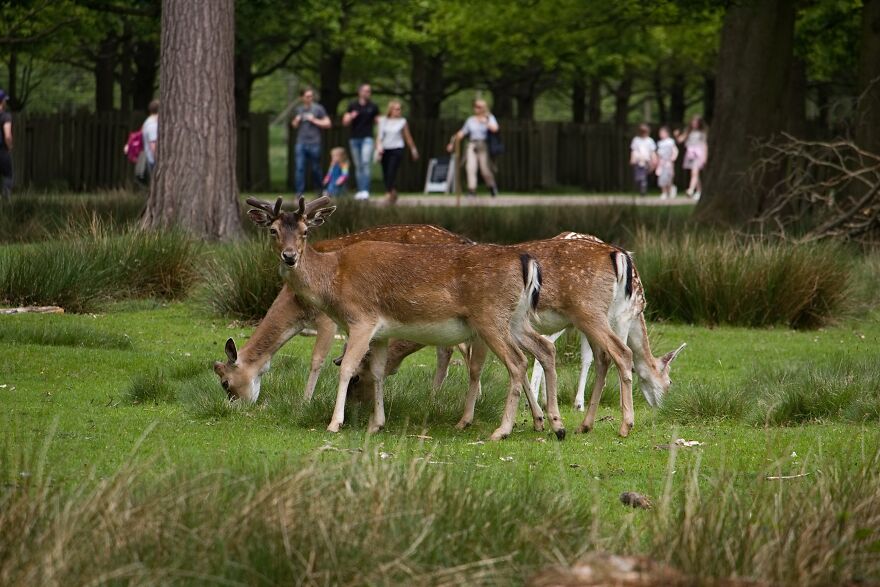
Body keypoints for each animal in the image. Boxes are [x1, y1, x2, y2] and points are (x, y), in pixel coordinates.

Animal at [213, 220, 473, 404]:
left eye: (226, 383)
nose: (236, 406)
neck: (296, 306)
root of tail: (464, 240)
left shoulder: (327, 318)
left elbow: (317, 359)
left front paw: (305, 401)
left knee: (452, 348)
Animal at [243, 196, 563, 441]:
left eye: (305, 231)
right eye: (273, 230)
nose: (289, 256)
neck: (333, 281)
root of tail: (527, 260)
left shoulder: (361, 319)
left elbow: (346, 366)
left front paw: (335, 423)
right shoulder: (381, 332)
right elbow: (378, 371)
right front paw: (376, 424)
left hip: (490, 318)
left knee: (517, 362)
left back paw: (503, 430)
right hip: (516, 319)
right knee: (545, 348)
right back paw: (555, 425)